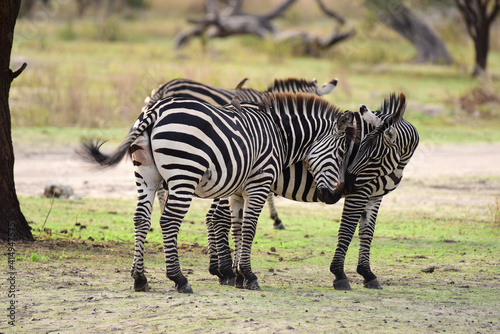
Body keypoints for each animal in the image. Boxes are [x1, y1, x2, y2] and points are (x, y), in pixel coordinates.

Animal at [79, 92, 356, 292]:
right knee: (169, 221)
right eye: (341, 153)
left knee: (140, 219)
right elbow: (249, 228)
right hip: (184, 174)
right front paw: (249, 275)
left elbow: (237, 228)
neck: (279, 135)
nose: (336, 195)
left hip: (146, 176)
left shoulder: (237, 192)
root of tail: (155, 110)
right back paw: (179, 279)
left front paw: (238, 275)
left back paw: (140, 278)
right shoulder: (259, 183)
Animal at [207, 91, 418, 290]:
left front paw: (367, 274)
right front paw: (339, 275)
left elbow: (367, 232)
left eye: (373, 157)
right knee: (219, 219)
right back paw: (227, 272)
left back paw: (222, 272)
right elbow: (347, 229)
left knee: (213, 217)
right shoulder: (360, 193)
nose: (348, 184)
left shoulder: (375, 195)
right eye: (358, 150)